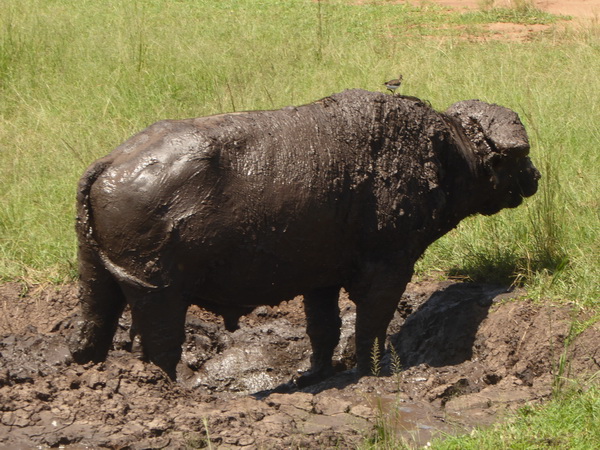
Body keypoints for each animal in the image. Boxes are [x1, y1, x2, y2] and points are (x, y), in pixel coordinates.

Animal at [69, 89, 540, 384]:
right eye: (522, 159)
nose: (535, 177)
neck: (446, 155)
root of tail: (110, 162)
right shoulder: (389, 268)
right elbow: (372, 325)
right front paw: (373, 371)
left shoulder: (321, 280)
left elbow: (324, 329)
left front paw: (317, 373)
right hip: (158, 292)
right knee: (162, 345)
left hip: (97, 276)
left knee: (95, 327)